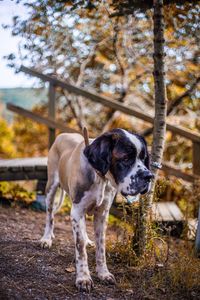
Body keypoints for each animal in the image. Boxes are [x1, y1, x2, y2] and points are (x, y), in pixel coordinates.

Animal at [39, 128, 152, 290]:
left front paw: (103, 274)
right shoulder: (77, 210)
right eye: (125, 158)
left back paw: (87, 240)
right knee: (50, 216)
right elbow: (80, 247)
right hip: (51, 187)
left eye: (144, 158)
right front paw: (83, 278)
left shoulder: (101, 214)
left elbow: (101, 247)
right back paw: (46, 238)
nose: (149, 176)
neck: (100, 176)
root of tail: (63, 134)